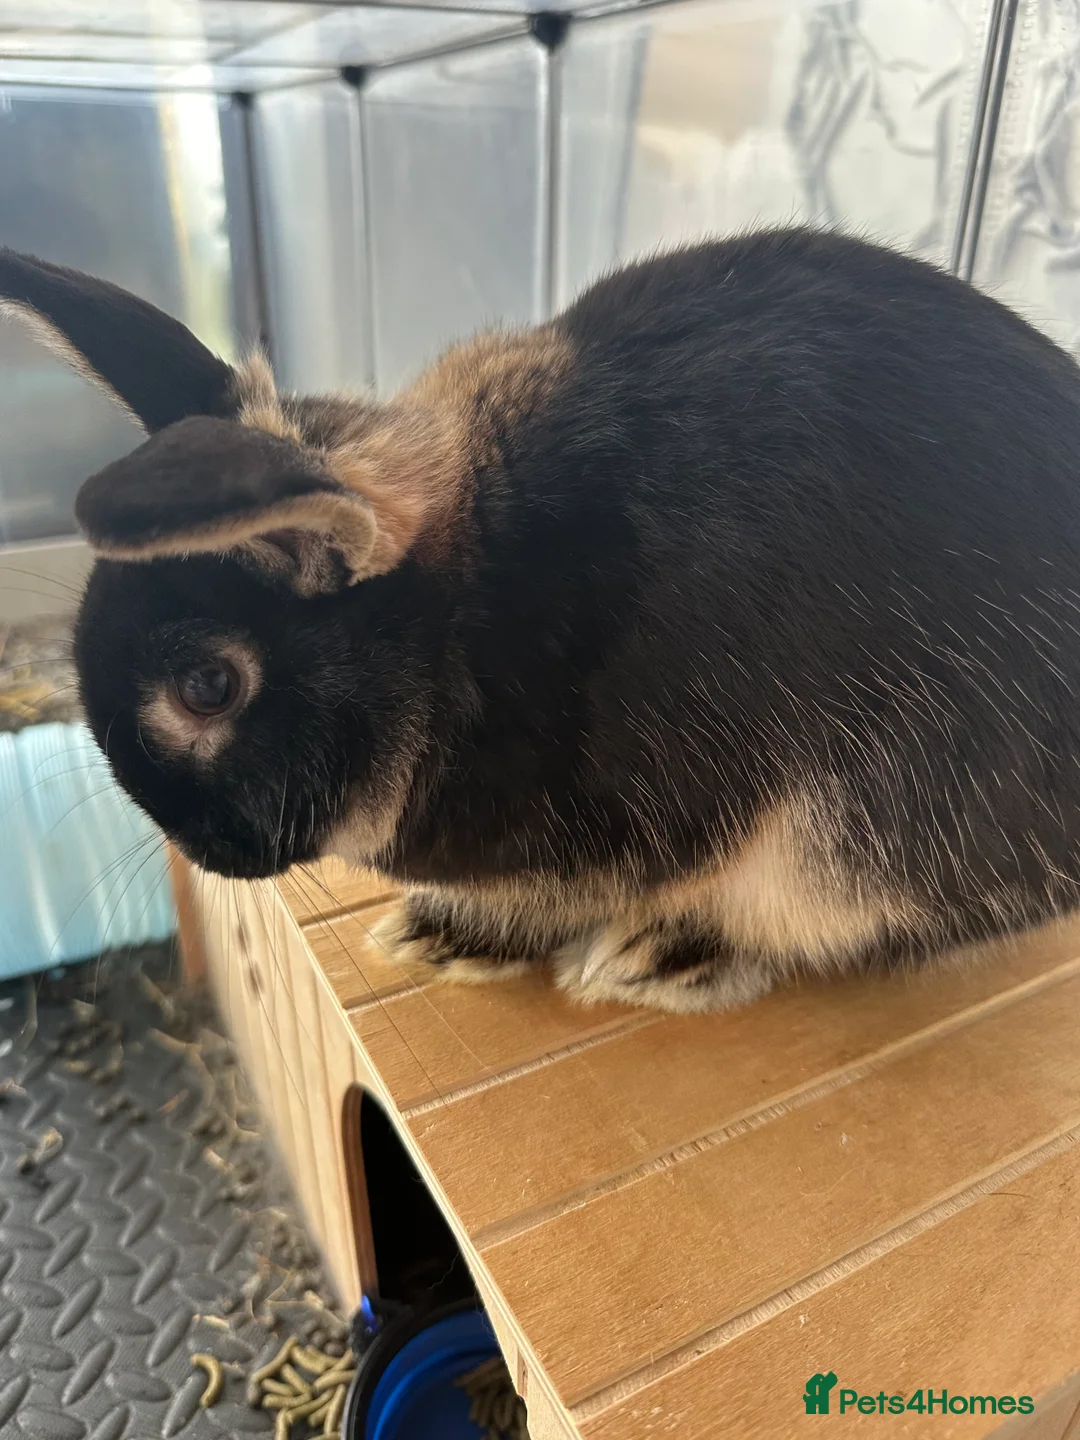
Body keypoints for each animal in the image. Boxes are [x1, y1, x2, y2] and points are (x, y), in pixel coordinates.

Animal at [5, 228, 1080, 1014]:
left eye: (207, 687)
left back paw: (664, 956)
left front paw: (448, 936)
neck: (457, 621)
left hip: (866, 833)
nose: (200, 854)